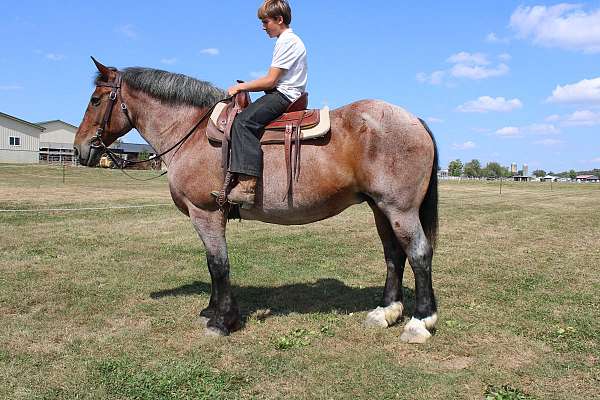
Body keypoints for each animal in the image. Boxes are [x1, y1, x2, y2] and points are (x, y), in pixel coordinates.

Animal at [74, 58, 440, 344]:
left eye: (95, 100)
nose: (80, 149)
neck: (191, 133)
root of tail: (415, 120)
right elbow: (212, 263)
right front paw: (212, 309)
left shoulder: (206, 213)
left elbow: (218, 264)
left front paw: (223, 321)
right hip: (380, 208)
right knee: (394, 255)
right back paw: (385, 312)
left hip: (400, 209)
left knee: (419, 253)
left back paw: (420, 322)